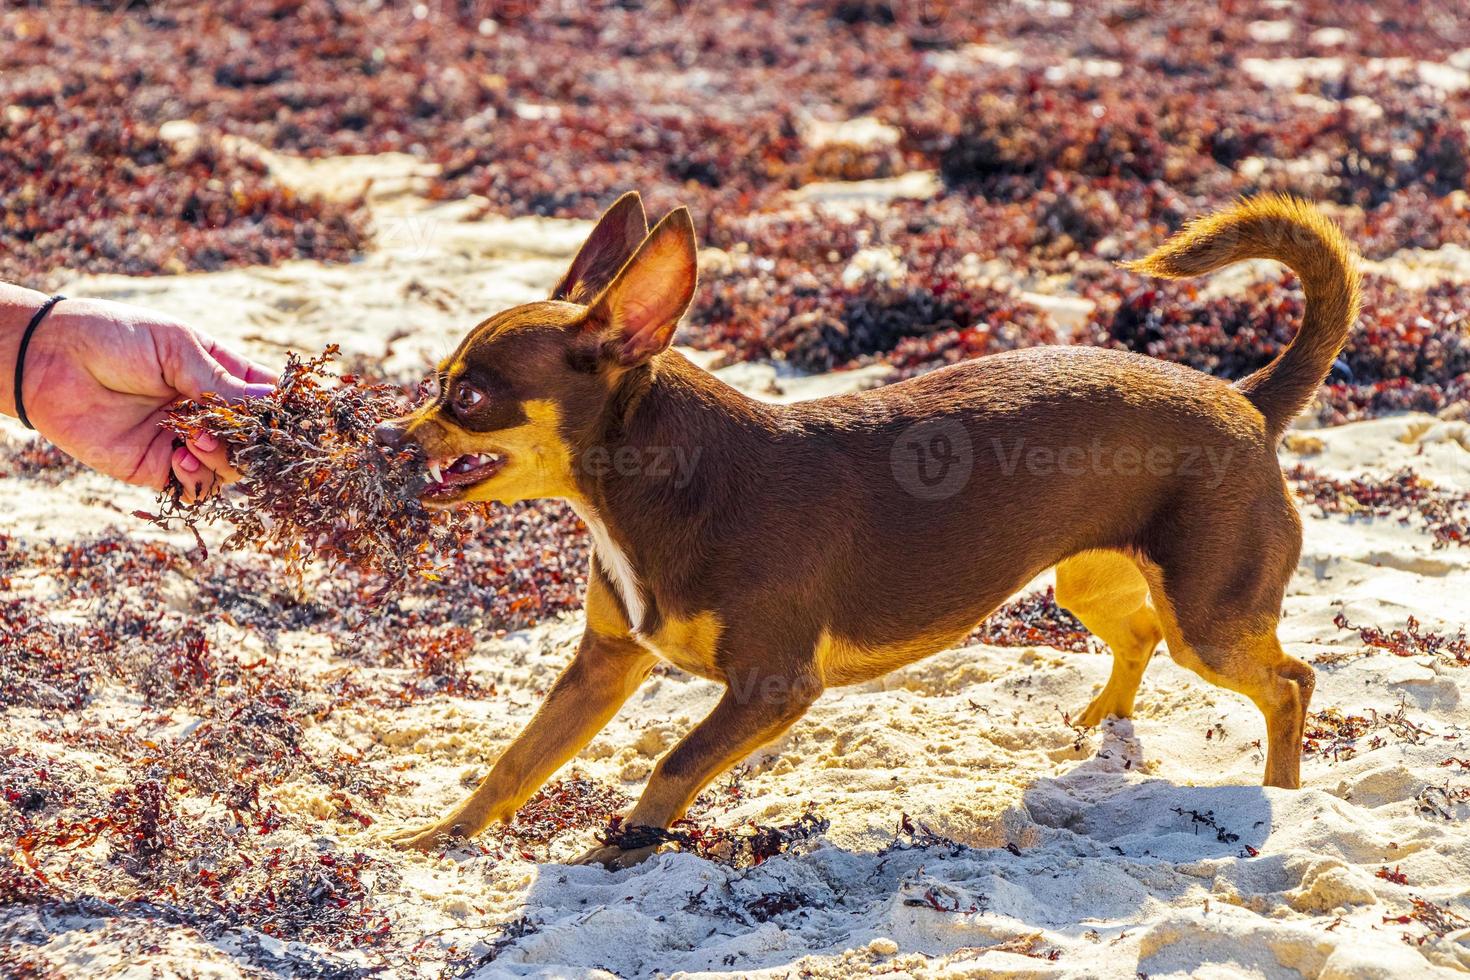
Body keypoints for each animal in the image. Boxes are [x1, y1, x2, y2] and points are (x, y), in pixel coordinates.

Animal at [379, 191, 1352, 863]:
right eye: (436, 384)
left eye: (468, 399)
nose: (388, 435)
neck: (653, 494)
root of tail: (1246, 399)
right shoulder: (601, 667)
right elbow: (515, 760)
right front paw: (439, 836)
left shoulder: (772, 688)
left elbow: (674, 764)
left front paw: (625, 845)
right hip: (1093, 580)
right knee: (1143, 635)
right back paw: (1103, 719)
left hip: (1211, 619)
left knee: (1290, 682)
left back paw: (1284, 793)